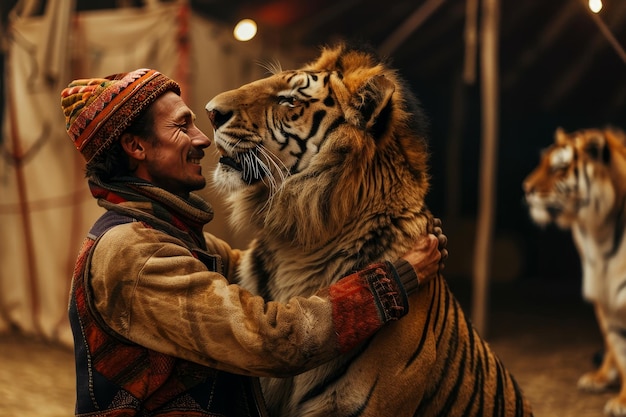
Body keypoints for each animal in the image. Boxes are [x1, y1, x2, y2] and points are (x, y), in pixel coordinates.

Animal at [520, 127, 626, 416]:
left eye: (560, 167)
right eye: (543, 162)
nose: (526, 189)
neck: (600, 232)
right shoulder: (604, 295)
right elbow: (621, 351)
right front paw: (622, 400)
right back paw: (599, 377)